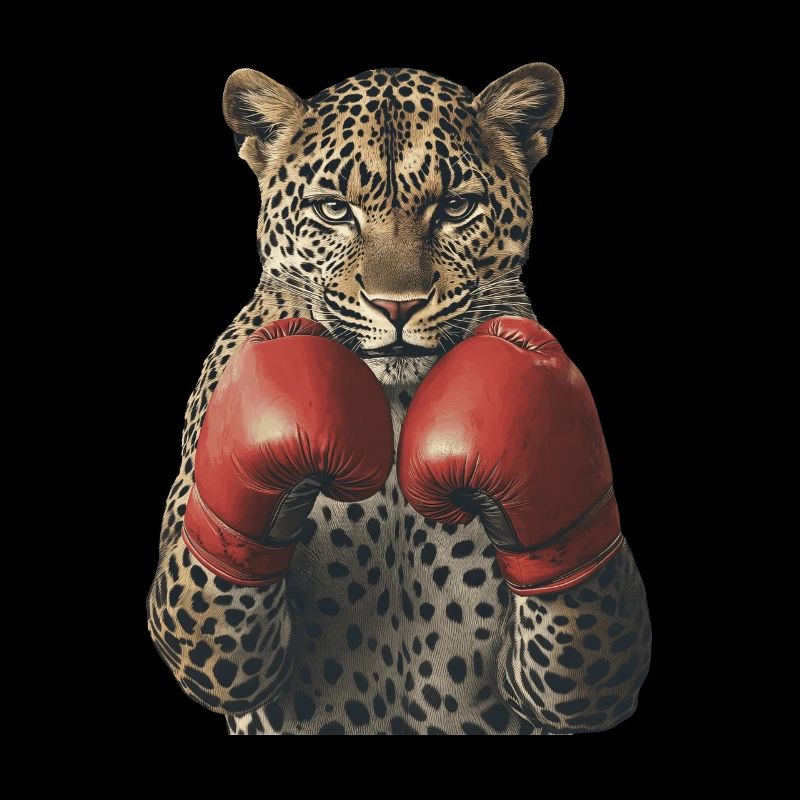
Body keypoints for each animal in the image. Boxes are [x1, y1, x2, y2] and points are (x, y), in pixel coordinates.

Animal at [147, 63, 652, 735]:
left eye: (456, 207)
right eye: (334, 209)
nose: (397, 306)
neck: (390, 407)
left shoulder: (562, 678)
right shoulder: (210, 633)